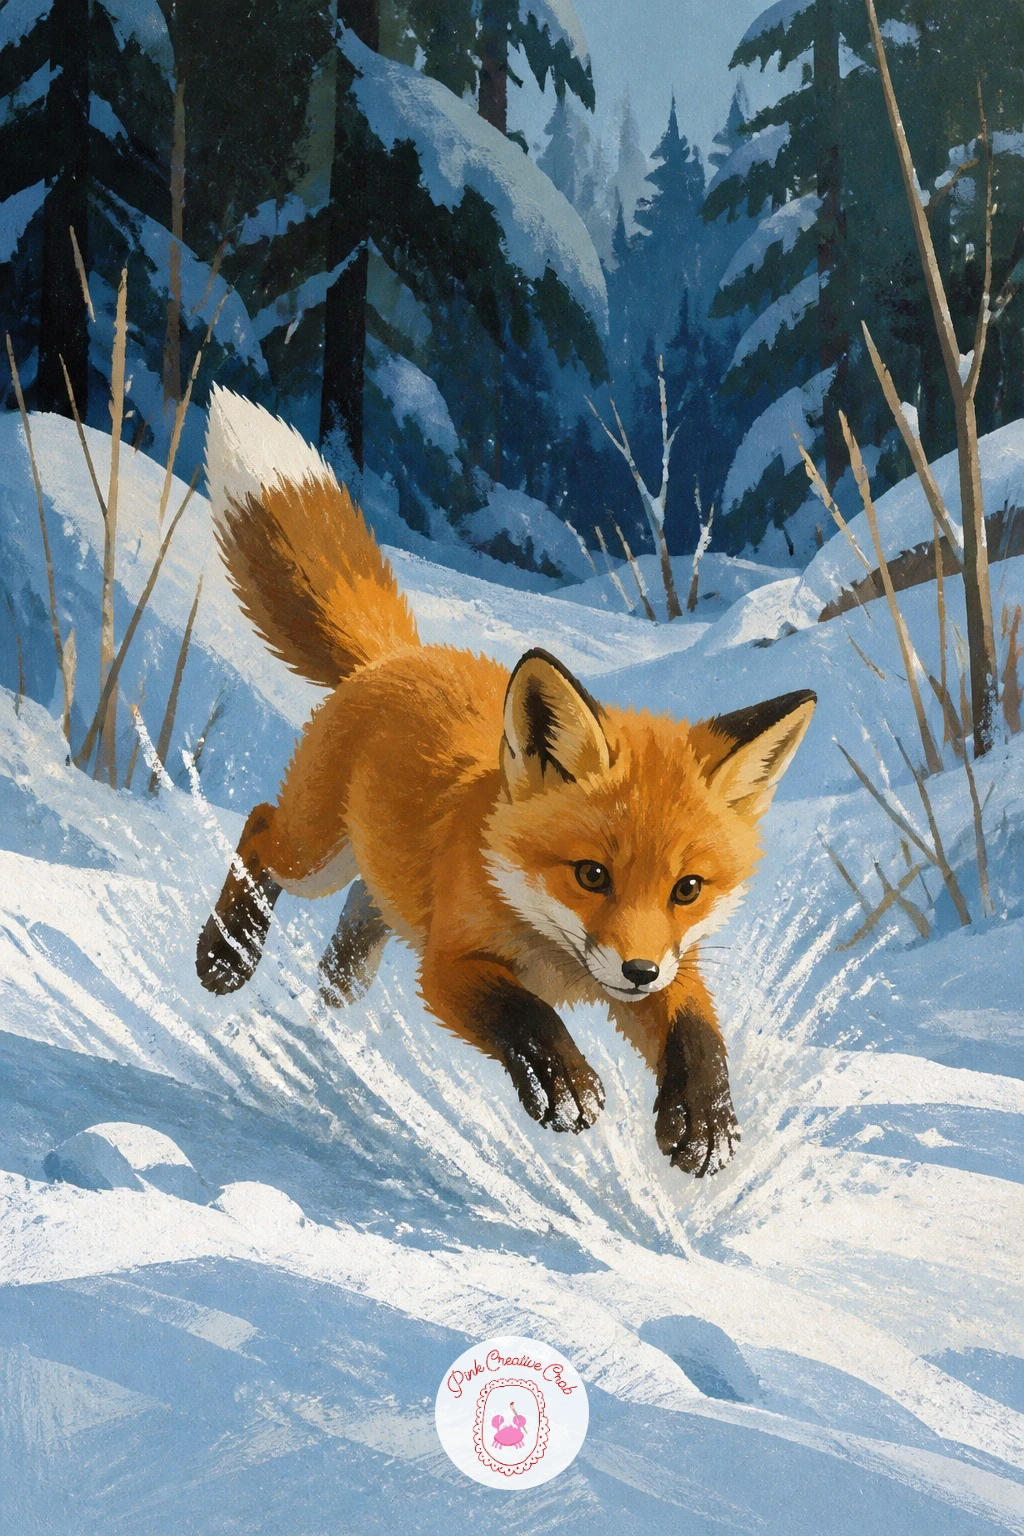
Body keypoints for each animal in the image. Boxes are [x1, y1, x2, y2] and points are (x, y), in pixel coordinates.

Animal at [196, 387, 816, 1177]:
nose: (638, 971)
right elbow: (524, 1014)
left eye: (687, 889)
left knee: (361, 913)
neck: (556, 955)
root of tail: (400, 655)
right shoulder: (450, 967)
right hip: (313, 856)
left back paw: (336, 984)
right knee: (259, 826)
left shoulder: (671, 963)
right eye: (591, 874)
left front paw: (705, 1120)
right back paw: (228, 952)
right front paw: (564, 1086)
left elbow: (698, 1030)